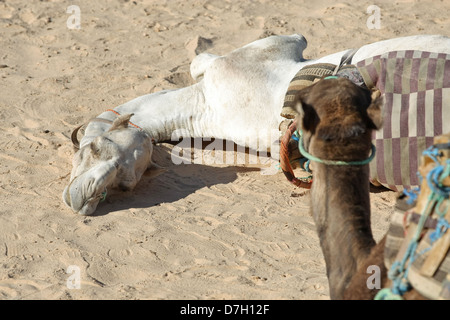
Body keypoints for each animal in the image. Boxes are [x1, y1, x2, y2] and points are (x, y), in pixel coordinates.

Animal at [62, 33, 450, 215]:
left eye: (97, 147)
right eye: (123, 185)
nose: (84, 199)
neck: (203, 103)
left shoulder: (270, 48)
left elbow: (199, 61)